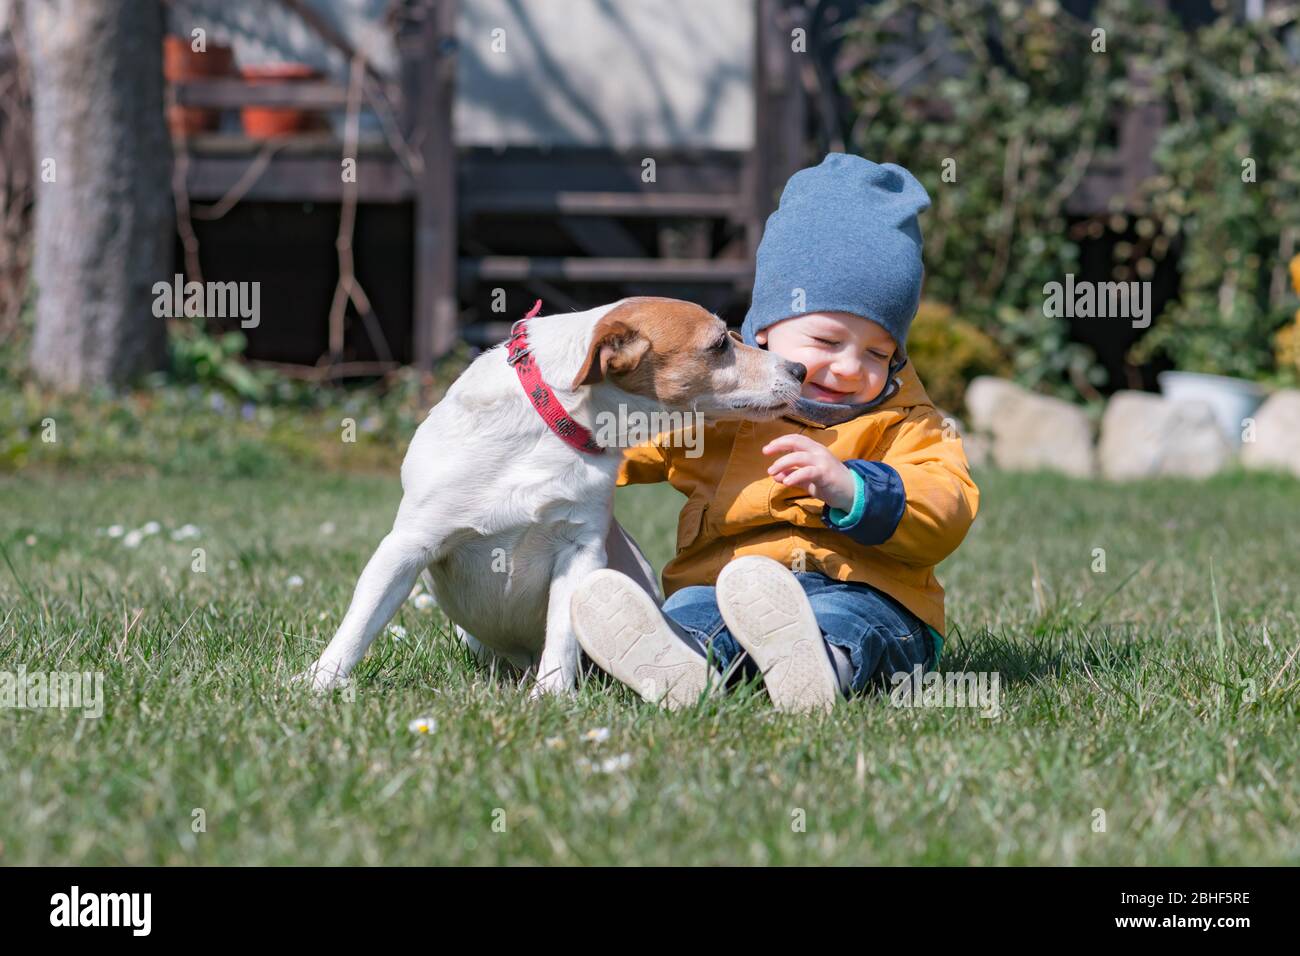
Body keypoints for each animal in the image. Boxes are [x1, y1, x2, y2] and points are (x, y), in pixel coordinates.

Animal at [299, 297, 800, 697]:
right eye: (719, 345)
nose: (797, 369)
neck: (552, 424)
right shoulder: (407, 546)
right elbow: (360, 622)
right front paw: (320, 681)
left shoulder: (580, 552)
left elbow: (562, 635)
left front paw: (552, 696)